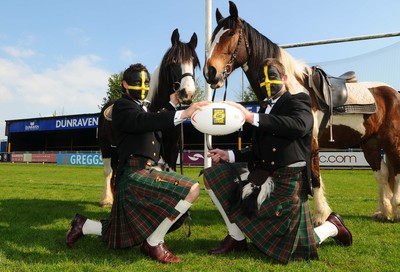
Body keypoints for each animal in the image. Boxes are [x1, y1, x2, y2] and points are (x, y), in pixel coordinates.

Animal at [97, 28, 199, 206]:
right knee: (108, 171)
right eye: (174, 61)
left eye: (194, 63)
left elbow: (172, 171)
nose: (187, 94)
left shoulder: (172, 147)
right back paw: (107, 200)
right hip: (106, 147)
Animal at [203, 1, 400, 224]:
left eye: (230, 33)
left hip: (392, 142)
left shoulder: (311, 142)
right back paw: (383, 212)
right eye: (214, 36)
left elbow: (314, 177)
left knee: (396, 171)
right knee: (382, 174)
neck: (293, 87)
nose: (210, 72)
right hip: (370, 143)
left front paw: (320, 217)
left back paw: (395, 211)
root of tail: (392, 92)